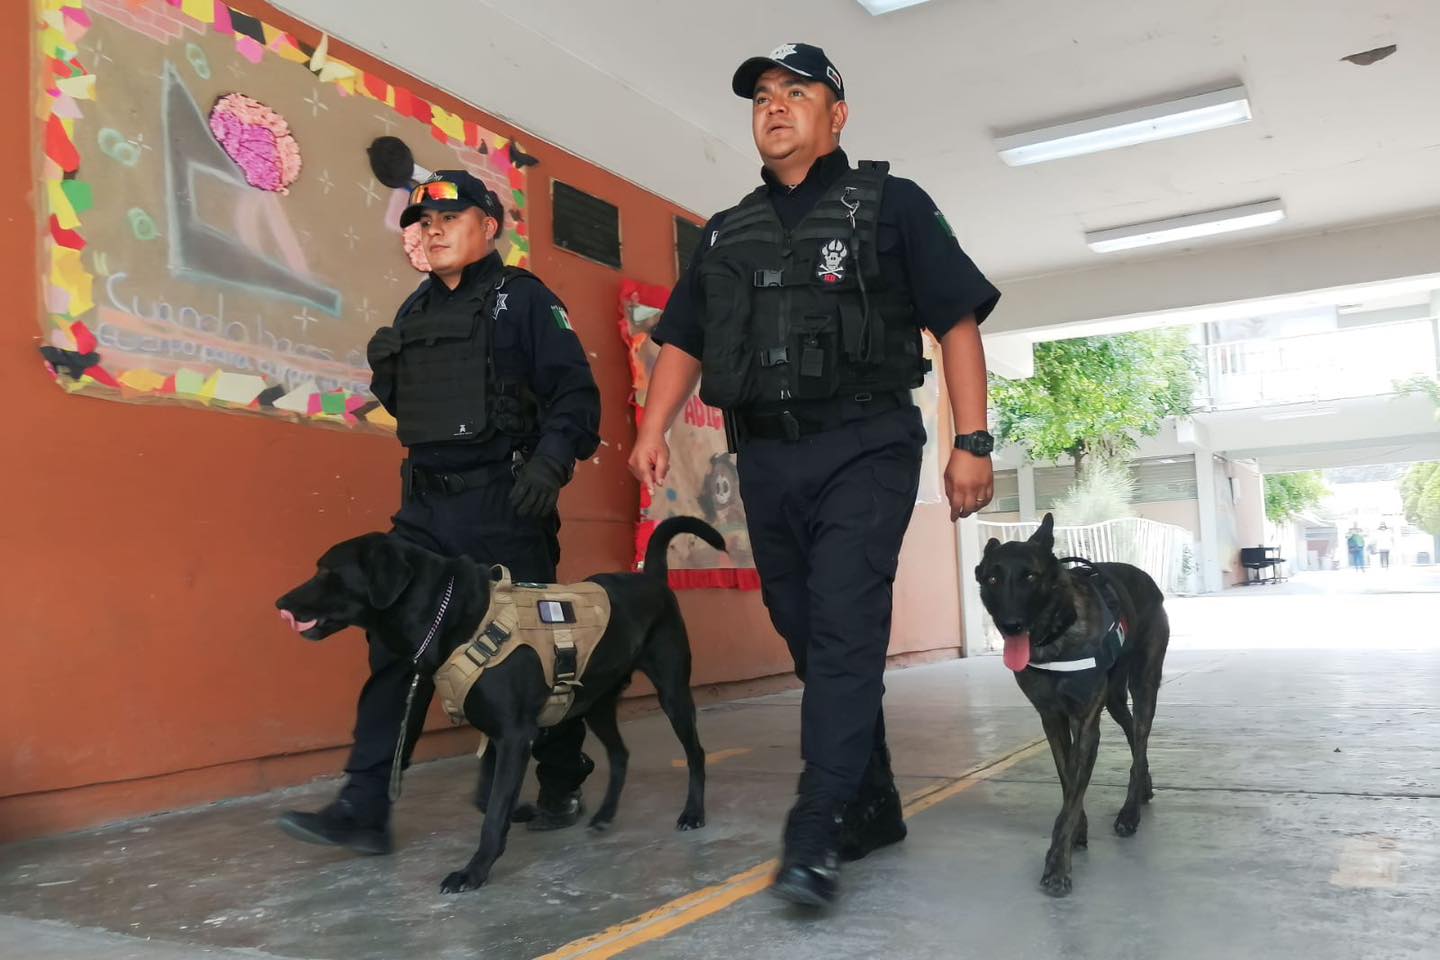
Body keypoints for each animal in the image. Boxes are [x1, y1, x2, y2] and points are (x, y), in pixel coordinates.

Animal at [272, 518, 720, 892]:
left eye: (327, 572)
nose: (281, 603)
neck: (452, 615)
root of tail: (652, 579)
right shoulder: (497, 734)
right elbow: (487, 800)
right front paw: (515, 815)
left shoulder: (515, 735)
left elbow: (491, 810)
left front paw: (474, 870)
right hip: (595, 703)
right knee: (621, 754)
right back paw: (606, 814)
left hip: (672, 693)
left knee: (695, 753)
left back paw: (693, 813)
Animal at [979, 515, 1169, 898]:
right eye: (992, 578)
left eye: (1030, 577)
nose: (1011, 625)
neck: (1056, 635)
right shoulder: (1052, 720)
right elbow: (1069, 784)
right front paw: (1075, 832)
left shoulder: (1085, 724)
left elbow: (1071, 795)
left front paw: (1057, 868)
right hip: (1114, 699)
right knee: (1132, 735)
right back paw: (1143, 786)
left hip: (1144, 687)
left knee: (1141, 736)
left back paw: (1130, 812)